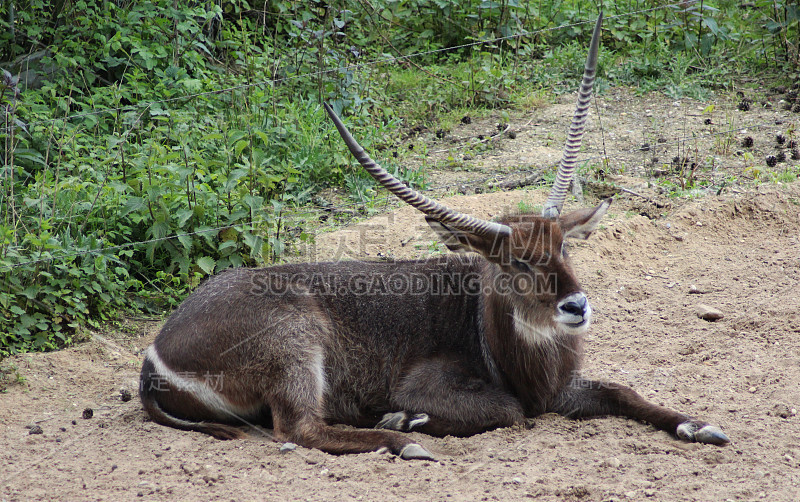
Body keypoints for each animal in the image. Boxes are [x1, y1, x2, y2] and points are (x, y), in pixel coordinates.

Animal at [141, 16, 728, 458]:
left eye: (562, 246)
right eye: (514, 262)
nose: (576, 307)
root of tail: (154, 354)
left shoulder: (559, 390)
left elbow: (621, 389)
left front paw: (700, 425)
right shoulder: (434, 384)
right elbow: (510, 410)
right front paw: (407, 419)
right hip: (297, 344)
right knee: (300, 429)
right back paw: (404, 441)